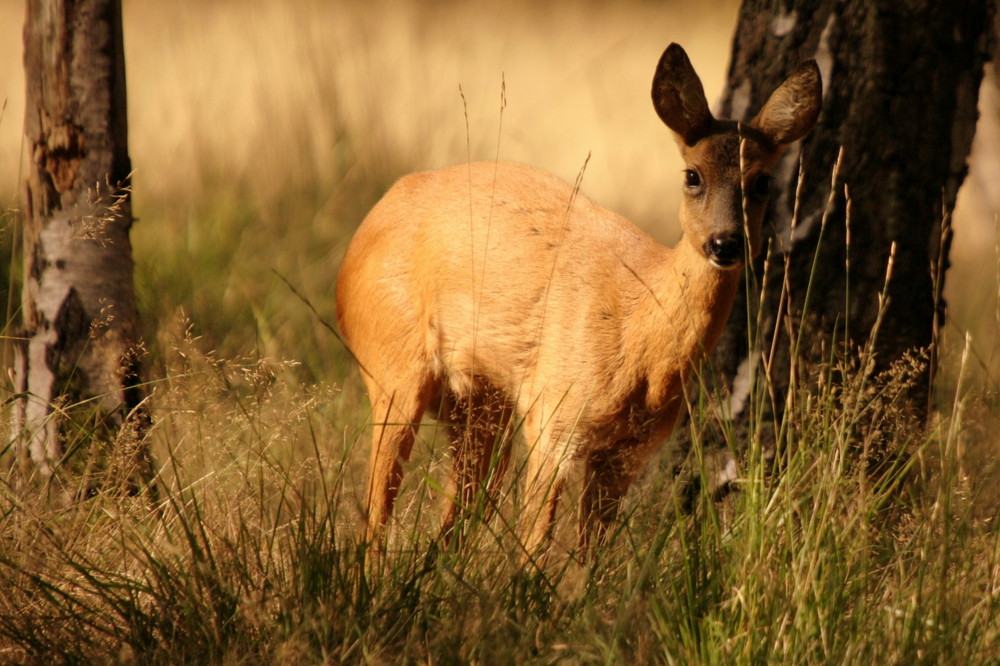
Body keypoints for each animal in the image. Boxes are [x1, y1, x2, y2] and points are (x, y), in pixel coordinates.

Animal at [336, 44, 820, 556]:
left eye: (763, 181)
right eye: (692, 175)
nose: (725, 243)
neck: (641, 347)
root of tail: (359, 239)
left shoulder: (628, 454)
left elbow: (593, 558)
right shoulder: (555, 417)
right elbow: (533, 546)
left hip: (480, 408)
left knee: (452, 520)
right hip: (393, 363)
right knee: (377, 513)